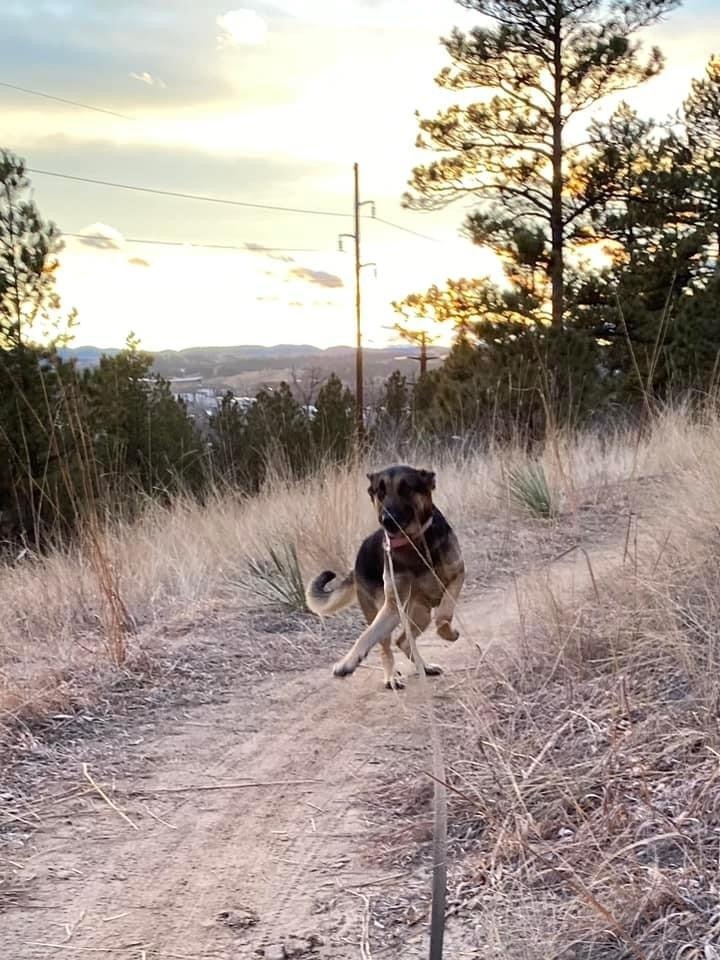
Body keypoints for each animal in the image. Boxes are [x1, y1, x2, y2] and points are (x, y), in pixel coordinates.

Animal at [302, 464, 462, 688]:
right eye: (380, 492)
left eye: (406, 489)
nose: (386, 520)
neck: (413, 544)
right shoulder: (392, 606)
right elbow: (365, 636)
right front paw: (346, 663)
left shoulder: (457, 577)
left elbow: (444, 613)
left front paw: (448, 633)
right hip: (384, 612)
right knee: (386, 645)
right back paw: (391, 677)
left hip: (419, 614)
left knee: (403, 640)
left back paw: (425, 667)